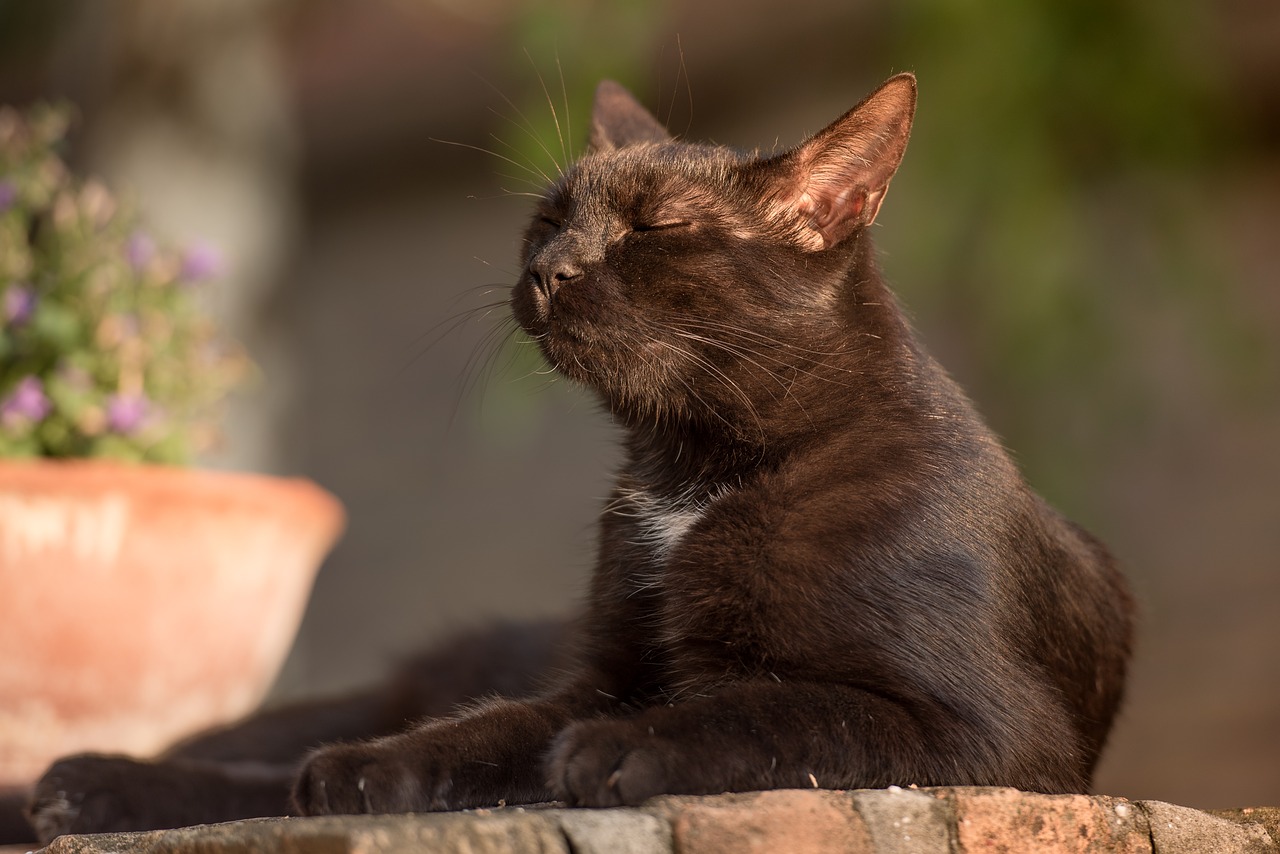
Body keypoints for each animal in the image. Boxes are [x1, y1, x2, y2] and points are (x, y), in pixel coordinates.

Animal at [20, 75, 1136, 850]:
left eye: (655, 229)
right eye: (550, 218)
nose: (546, 270)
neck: (695, 468)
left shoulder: (987, 732)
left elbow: (784, 703)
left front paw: (628, 748)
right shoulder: (597, 673)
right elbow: (485, 729)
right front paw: (376, 769)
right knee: (266, 752)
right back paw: (85, 782)